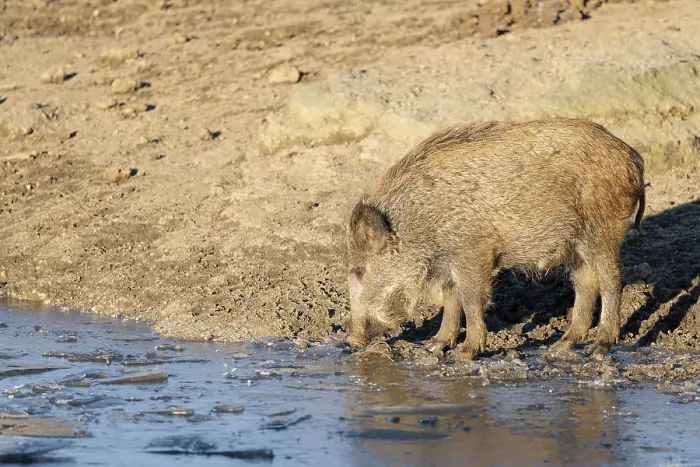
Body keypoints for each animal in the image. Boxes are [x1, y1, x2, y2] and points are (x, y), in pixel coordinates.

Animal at [344, 118, 645, 360]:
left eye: (360, 271)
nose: (351, 340)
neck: (421, 220)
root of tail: (632, 157)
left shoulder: (473, 251)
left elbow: (470, 299)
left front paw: (465, 353)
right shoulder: (449, 261)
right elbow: (451, 299)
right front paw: (433, 346)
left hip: (601, 229)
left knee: (611, 279)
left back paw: (599, 348)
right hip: (575, 244)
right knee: (585, 282)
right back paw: (559, 347)